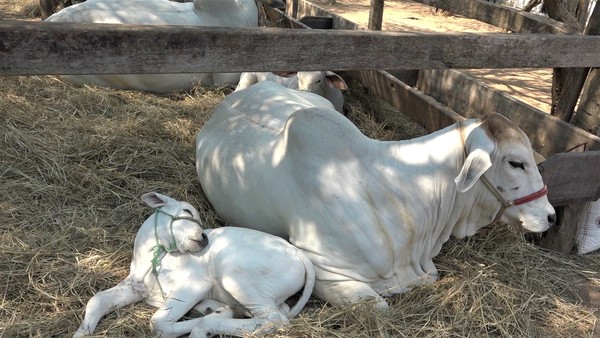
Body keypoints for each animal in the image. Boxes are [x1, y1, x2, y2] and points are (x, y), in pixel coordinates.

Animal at [73, 193, 316, 338]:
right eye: (187, 211)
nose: (204, 237)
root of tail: (299, 254)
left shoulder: (194, 284)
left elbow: (158, 324)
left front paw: (214, 316)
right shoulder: (135, 287)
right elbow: (98, 299)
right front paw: (81, 333)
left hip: (237, 276)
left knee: (275, 320)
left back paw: (207, 325)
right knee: (278, 312)